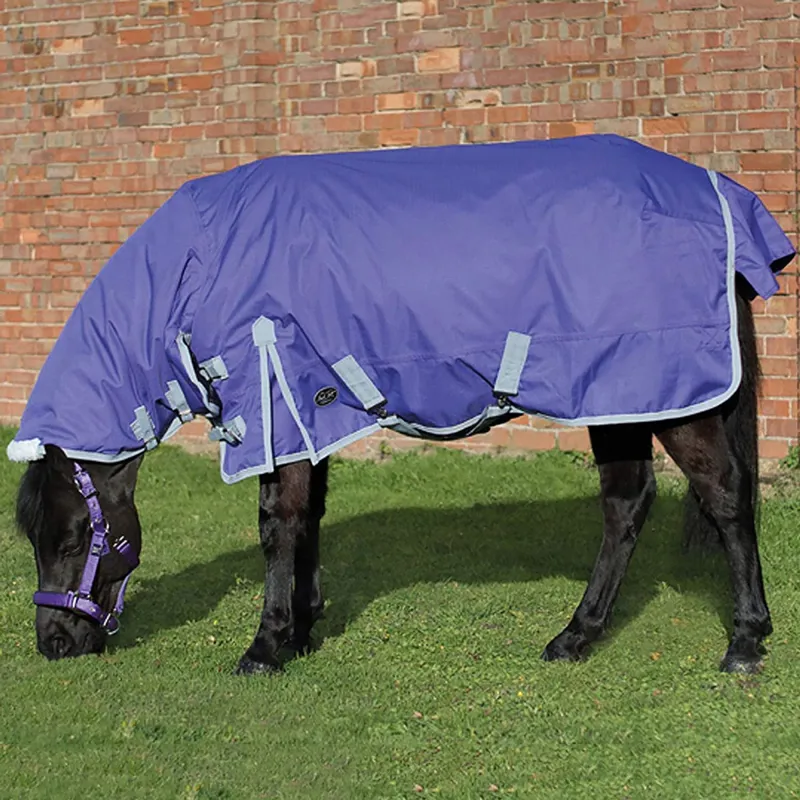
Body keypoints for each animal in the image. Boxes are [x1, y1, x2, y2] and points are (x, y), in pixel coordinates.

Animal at [9, 135, 796, 675]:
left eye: (74, 539)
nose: (54, 644)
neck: (201, 265)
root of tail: (720, 196)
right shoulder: (308, 412)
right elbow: (307, 519)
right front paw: (302, 629)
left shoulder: (275, 401)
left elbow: (276, 524)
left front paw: (265, 647)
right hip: (620, 395)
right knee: (627, 506)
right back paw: (577, 636)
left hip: (665, 394)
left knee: (725, 497)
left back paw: (745, 639)